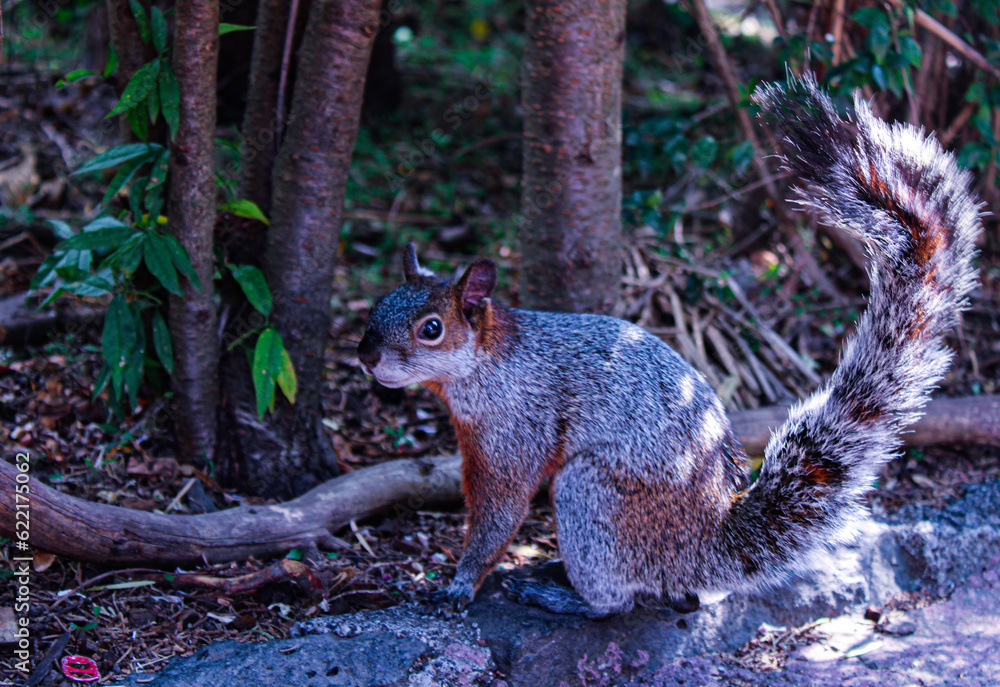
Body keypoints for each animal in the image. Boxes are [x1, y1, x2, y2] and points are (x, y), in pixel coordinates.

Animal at [356, 74, 980, 620]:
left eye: (431, 328)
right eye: (377, 306)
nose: (366, 356)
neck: (486, 366)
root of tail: (702, 547)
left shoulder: (515, 429)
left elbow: (499, 513)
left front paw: (460, 583)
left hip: (594, 496)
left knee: (617, 599)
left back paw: (563, 596)